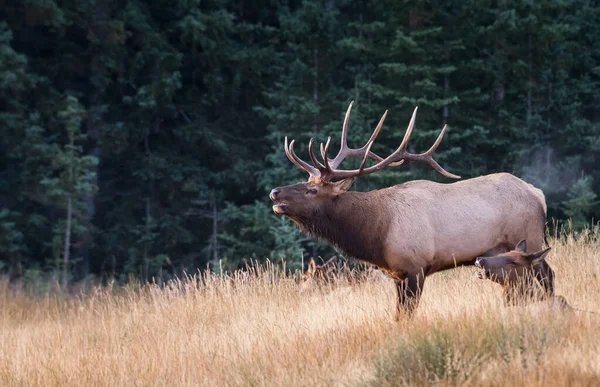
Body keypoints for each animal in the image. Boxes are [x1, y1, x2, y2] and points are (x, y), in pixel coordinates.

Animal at [270, 103, 552, 318]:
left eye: (312, 190)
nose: (275, 192)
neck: (376, 233)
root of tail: (538, 194)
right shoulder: (396, 274)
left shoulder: (416, 267)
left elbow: (406, 314)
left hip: (529, 238)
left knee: (547, 273)